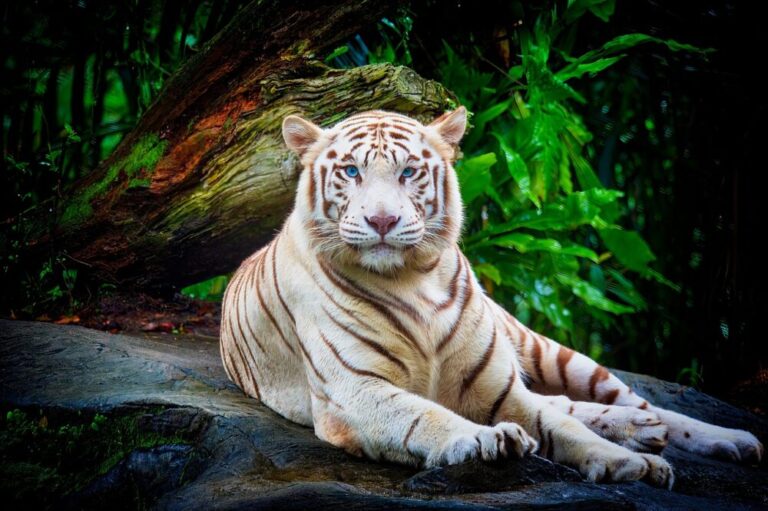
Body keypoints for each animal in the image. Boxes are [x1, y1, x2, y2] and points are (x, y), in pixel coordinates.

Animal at [220, 108, 760, 488]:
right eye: (351, 172)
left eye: (408, 173)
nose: (382, 221)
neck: (412, 279)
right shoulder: (354, 390)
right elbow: (425, 415)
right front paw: (485, 439)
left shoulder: (502, 390)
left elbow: (566, 428)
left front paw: (631, 463)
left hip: (548, 350)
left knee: (630, 401)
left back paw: (720, 438)